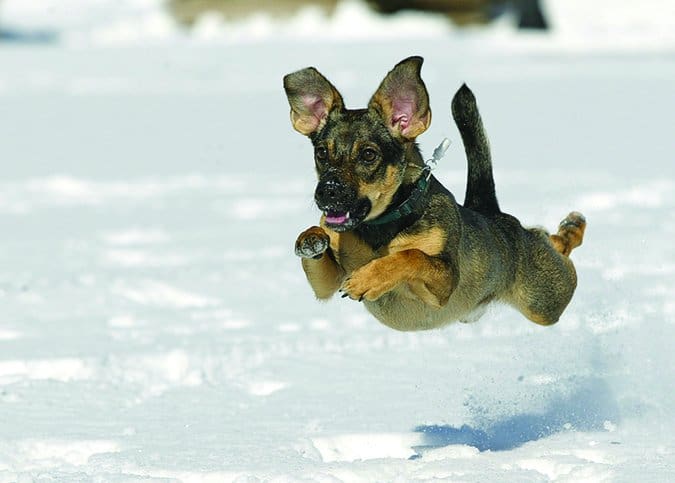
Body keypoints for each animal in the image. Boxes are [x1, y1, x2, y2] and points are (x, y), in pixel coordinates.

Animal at [282, 54, 584, 330]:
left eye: (369, 155)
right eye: (321, 153)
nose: (326, 192)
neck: (381, 227)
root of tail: (492, 214)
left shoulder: (445, 283)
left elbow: (411, 256)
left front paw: (368, 279)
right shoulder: (327, 284)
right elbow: (320, 251)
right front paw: (311, 239)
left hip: (544, 300)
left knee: (555, 248)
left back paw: (572, 227)